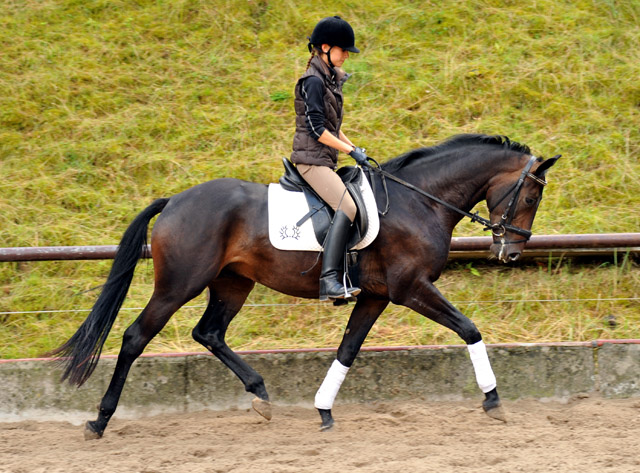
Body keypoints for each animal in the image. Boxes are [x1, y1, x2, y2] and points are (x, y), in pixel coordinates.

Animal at [51, 134, 560, 438]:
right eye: (532, 195)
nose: (512, 252)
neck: (420, 200)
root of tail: (175, 199)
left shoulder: (376, 296)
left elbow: (348, 349)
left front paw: (323, 409)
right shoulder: (409, 288)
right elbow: (469, 329)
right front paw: (493, 399)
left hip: (233, 283)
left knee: (209, 333)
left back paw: (260, 395)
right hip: (179, 284)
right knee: (136, 337)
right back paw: (99, 420)